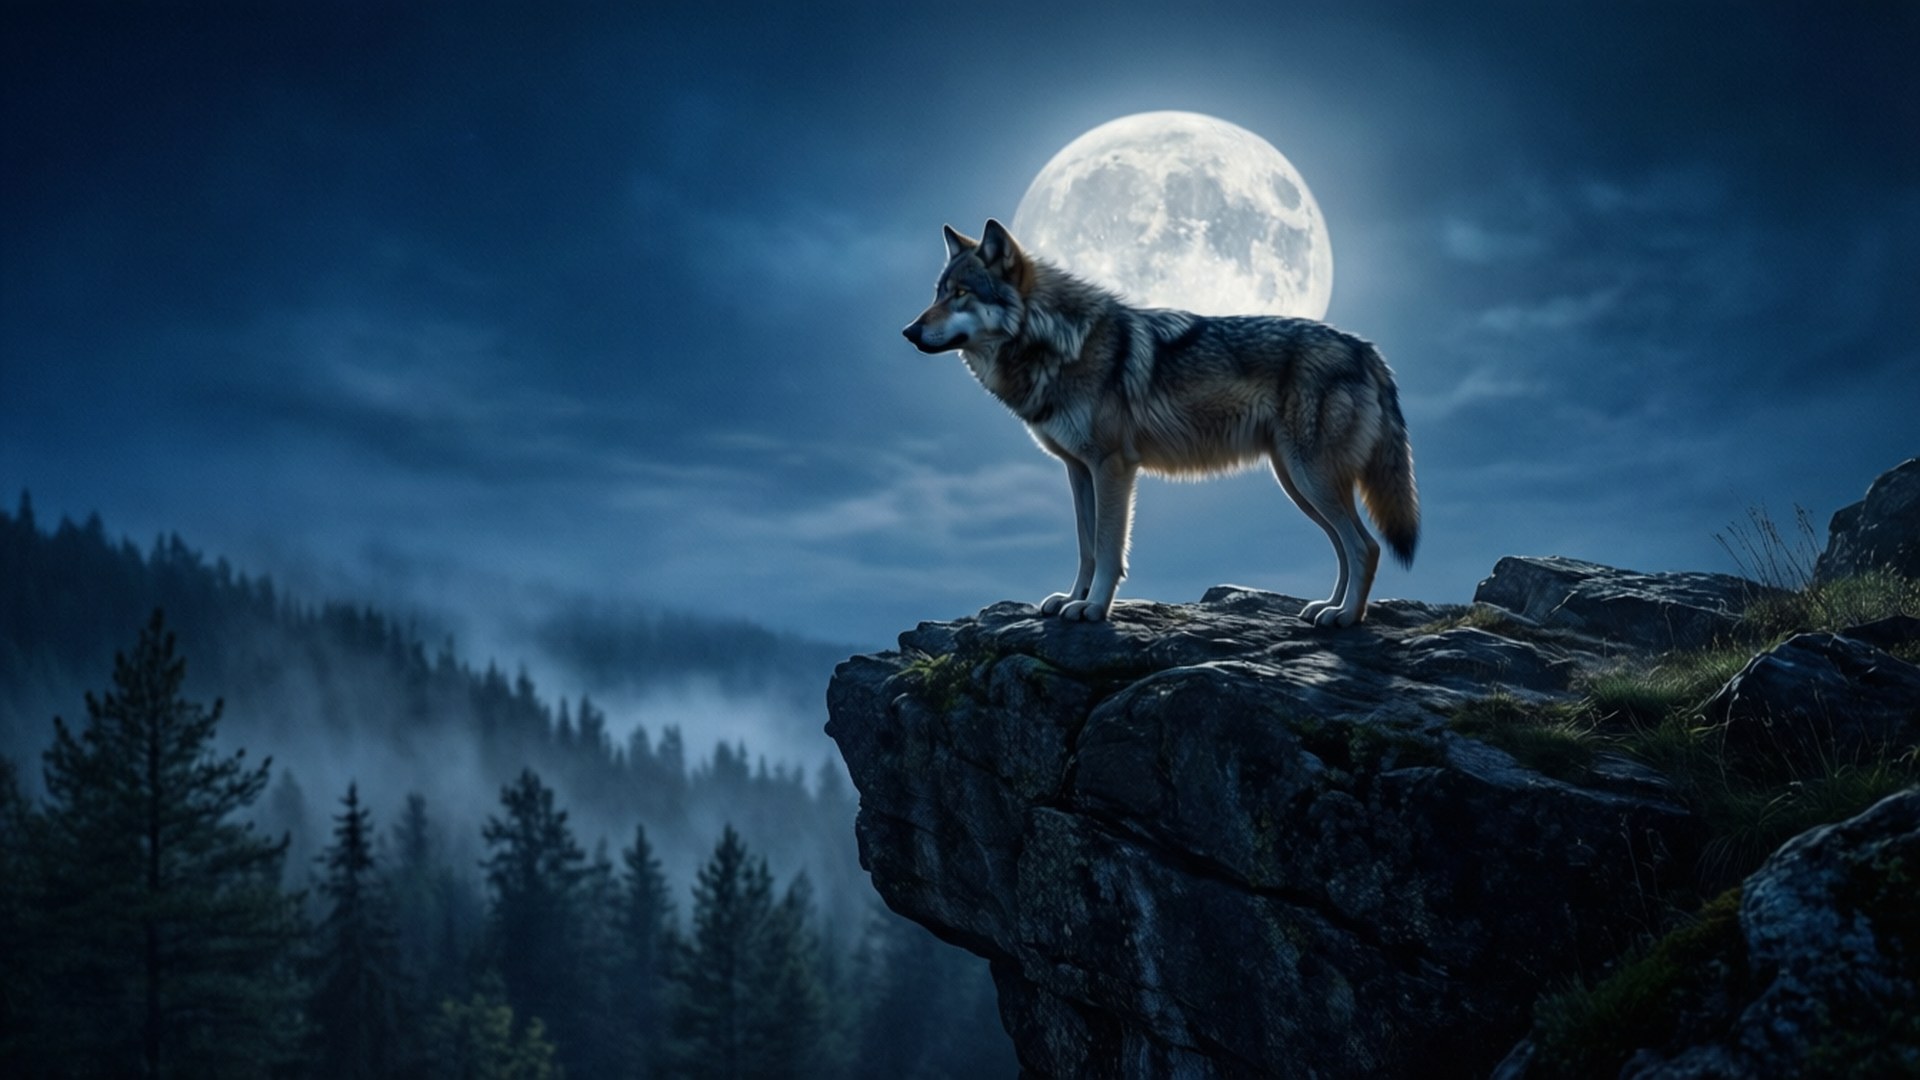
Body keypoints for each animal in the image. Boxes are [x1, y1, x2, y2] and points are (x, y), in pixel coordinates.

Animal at [902, 219, 1419, 626]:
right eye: (937, 294)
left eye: (961, 295)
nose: (908, 331)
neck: (1058, 342)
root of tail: (1367, 350)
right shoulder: (1077, 469)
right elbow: (1085, 546)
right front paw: (1072, 599)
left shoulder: (1112, 467)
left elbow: (1108, 547)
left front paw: (1094, 609)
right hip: (1297, 482)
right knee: (1347, 548)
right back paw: (1327, 608)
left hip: (1310, 479)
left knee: (1365, 547)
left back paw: (1346, 618)